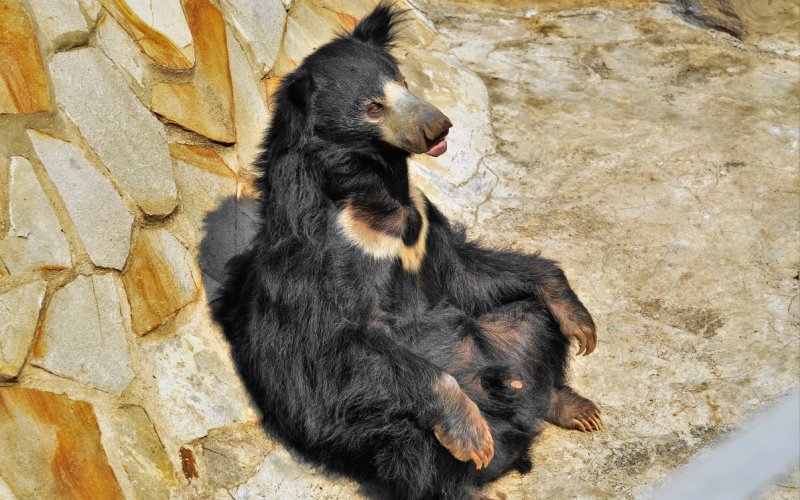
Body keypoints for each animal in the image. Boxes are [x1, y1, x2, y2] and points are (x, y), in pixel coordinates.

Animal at [212, 2, 600, 496]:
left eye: (404, 83)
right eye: (373, 107)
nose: (439, 125)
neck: (380, 195)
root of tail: (514, 421)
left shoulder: (425, 222)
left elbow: (467, 271)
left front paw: (580, 321)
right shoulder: (322, 259)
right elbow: (345, 341)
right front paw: (469, 432)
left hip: (502, 342)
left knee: (531, 320)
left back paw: (571, 406)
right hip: (369, 424)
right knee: (412, 446)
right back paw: (477, 450)